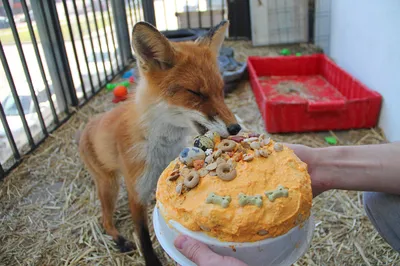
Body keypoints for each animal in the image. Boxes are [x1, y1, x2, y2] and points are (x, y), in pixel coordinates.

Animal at [77, 19, 241, 264]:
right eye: (196, 93)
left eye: (222, 91)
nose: (236, 127)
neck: (160, 145)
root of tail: (87, 125)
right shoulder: (137, 192)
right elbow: (143, 236)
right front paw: (151, 259)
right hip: (109, 185)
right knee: (104, 219)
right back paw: (119, 239)